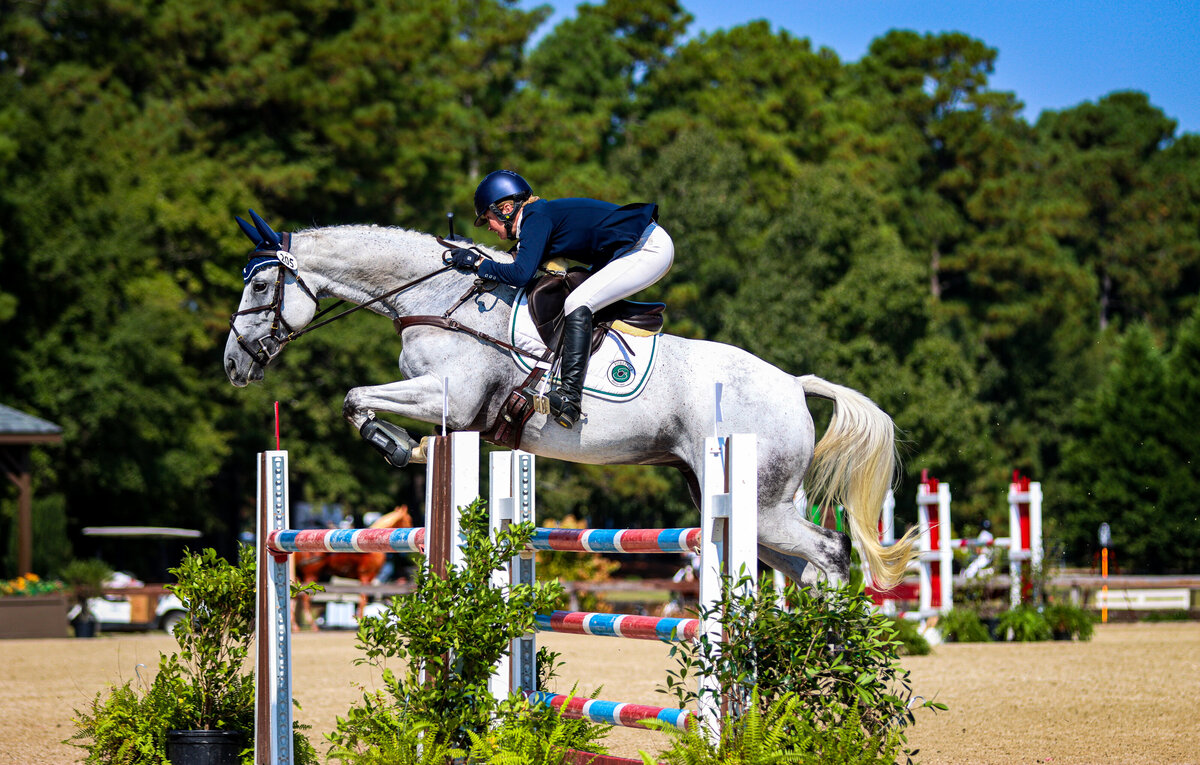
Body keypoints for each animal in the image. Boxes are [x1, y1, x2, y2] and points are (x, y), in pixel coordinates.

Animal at [224, 215, 918, 588]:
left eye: (259, 285)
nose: (233, 364)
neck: (443, 296)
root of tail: (793, 384)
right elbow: (358, 399)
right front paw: (405, 448)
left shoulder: (448, 398)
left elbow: (356, 397)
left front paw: (397, 446)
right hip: (744, 502)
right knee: (805, 568)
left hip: (764, 503)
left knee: (831, 554)